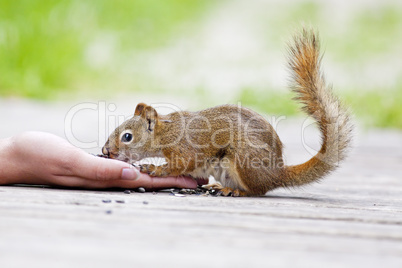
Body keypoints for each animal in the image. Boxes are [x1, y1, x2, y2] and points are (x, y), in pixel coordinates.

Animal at [101, 28, 352, 197]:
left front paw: (154, 168)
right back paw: (219, 186)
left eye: (127, 136)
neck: (167, 133)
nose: (105, 151)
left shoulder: (186, 147)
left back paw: (237, 191)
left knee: (258, 191)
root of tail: (277, 173)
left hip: (244, 159)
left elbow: (180, 164)